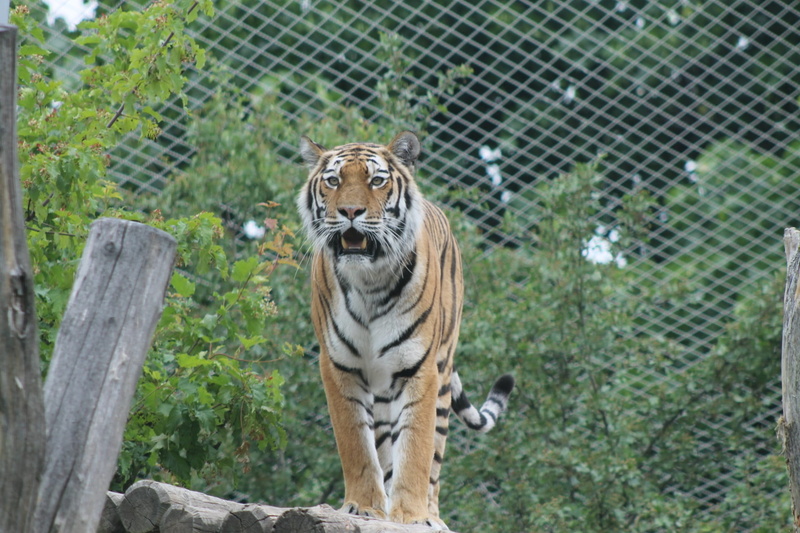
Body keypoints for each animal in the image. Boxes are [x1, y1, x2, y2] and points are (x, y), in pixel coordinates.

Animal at [296, 131, 514, 529]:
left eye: (376, 181)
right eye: (333, 181)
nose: (350, 212)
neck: (369, 281)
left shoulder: (420, 368)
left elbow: (416, 448)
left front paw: (411, 517)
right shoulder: (338, 366)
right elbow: (356, 445)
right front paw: (363, 507)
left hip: (441, 374)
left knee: (435, 458)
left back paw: (432, 516)